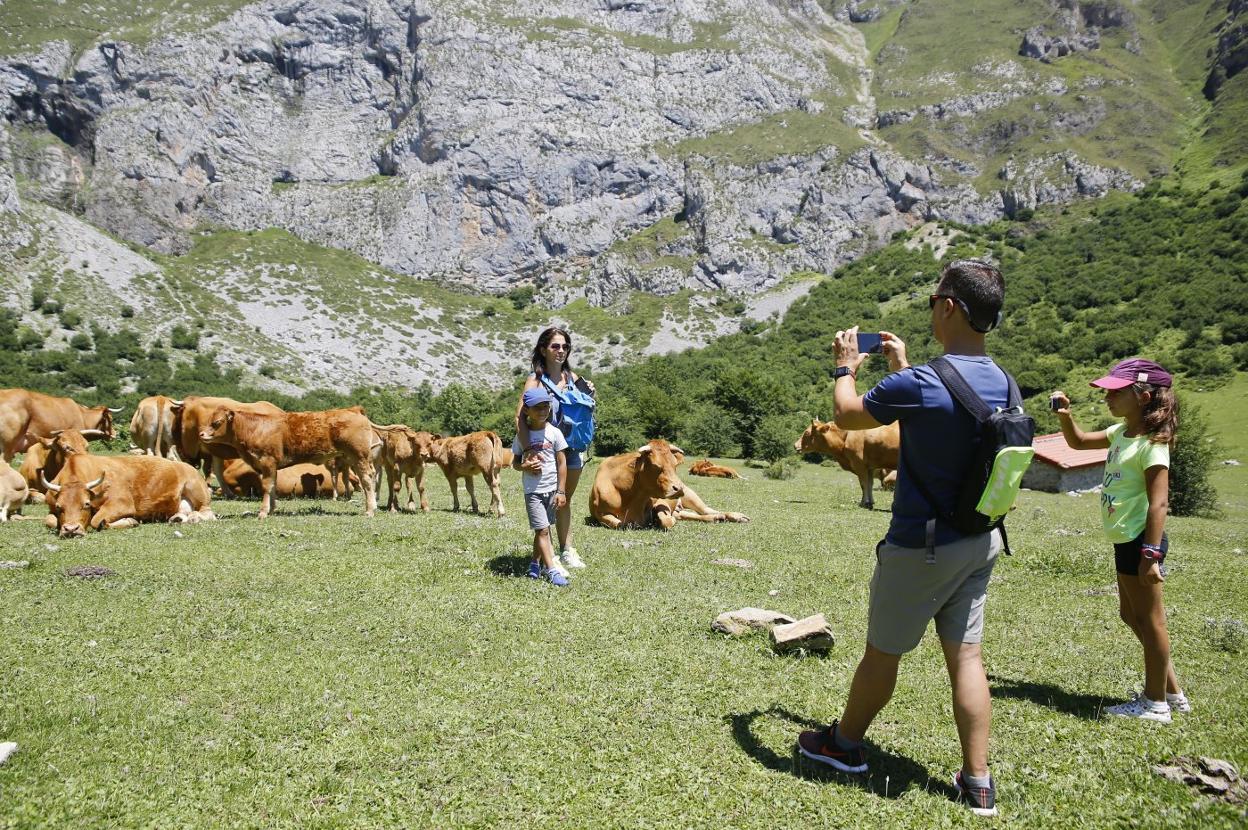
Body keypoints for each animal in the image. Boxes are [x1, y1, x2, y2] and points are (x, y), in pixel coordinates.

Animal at [42, 449, 214, 534]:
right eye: (59, 507)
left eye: (86, 504)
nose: (71, 529)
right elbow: (49, 521)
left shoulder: (122, 503)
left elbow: (96, 520)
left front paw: (130, 521)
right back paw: (177, 518)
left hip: (196, 490)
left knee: (208, 513)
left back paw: (194, 518)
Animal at [195, 401, 374, 514]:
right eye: (210, 419)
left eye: (217, 422)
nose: (201, 434)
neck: (255, 429)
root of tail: (353, 409)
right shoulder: (270, 467)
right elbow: (273, 486)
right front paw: (272, 509)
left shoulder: (267, 462)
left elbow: (267, 486)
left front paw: (263, 512)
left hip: (360, 456)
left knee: (367, 480)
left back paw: (370, 510)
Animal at [586, 436, 748, 526]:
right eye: (656, 466)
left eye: (675, 465)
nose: (679, 488)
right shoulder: (600, 514)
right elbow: (619, 524)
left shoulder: (662, 501)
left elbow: (666, 520)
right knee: (690, 515)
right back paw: (717, 518)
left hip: (691, 496)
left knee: (706, 510)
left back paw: (735, 516)